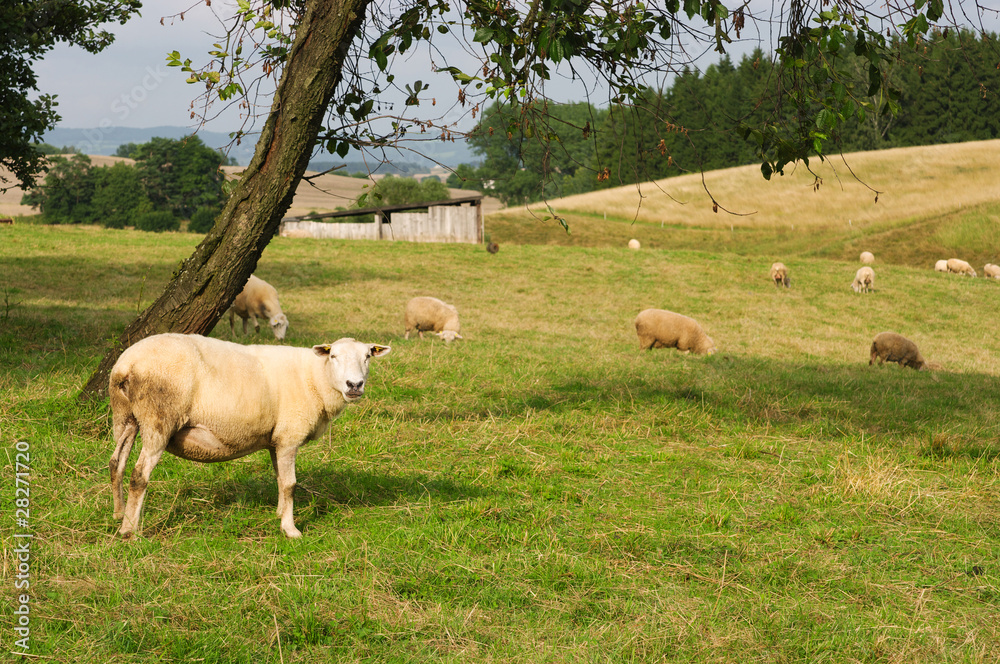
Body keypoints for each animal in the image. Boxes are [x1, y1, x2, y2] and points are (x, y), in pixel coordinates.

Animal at [108, 334, 391, 539]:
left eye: (368, 356)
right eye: (333, 356)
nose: (354, 385)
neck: (315, 377)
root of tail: (126, 365)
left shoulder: (276, 439)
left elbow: (280, 480)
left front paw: (279, 515)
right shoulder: (289, 436)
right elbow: (290, 484)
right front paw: (291, 530)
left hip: (126, 418)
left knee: (116, 464)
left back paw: (118, 514)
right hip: (159, 419)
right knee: (139, 475)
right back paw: (129, 531)